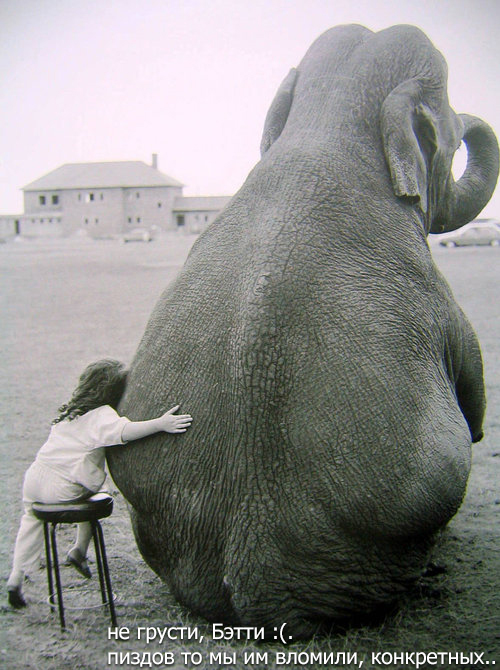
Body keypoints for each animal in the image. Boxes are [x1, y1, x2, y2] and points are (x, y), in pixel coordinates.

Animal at [107, 23, 498, 636]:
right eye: (452, 136)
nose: (476, 122)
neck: (326, 125)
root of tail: (255, 588)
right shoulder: (441, 299)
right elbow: (474, 398)